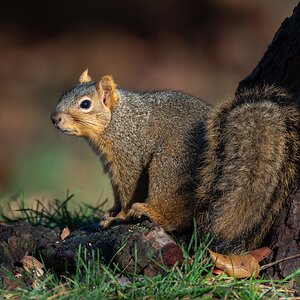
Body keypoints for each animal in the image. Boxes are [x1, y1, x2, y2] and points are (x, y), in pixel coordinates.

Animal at [51, 69, 300, 253]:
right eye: (63, 94)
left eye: (85, 104)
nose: (54, 118)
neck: (117, 120)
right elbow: (118, 192)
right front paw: (112, 211)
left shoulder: (129, 155)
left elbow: (129, 189)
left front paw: (119, 216)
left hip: (169, 167)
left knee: (174, 219)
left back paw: (149, 211)